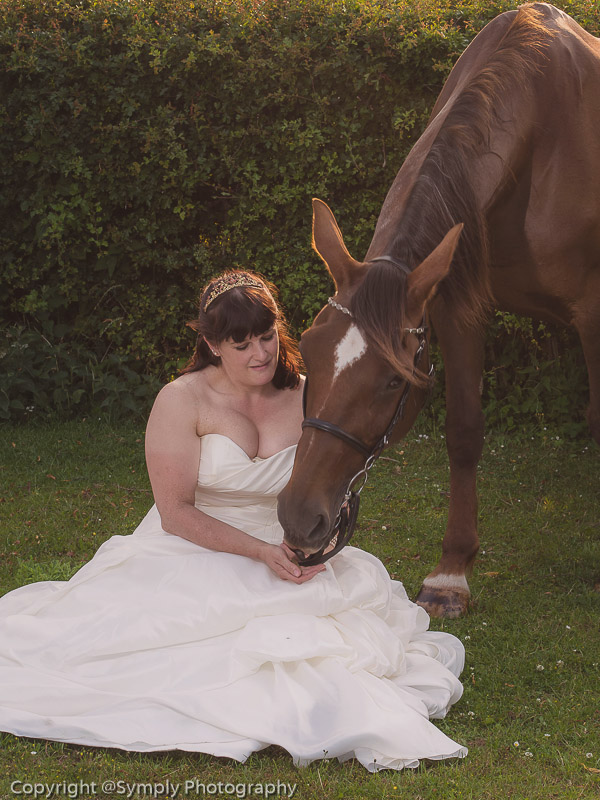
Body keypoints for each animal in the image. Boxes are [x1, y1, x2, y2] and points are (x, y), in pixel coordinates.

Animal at [278, 1, 600, 620]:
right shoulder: (458, 310)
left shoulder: (592, 313)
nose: (299, 517)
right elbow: (464, 431)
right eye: (307, 350)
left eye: (389, 381)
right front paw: (452, 573)